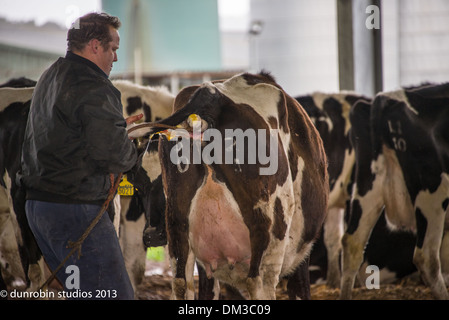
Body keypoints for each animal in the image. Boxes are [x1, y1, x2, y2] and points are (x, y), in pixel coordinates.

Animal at [131, 71, 328, 298]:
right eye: (139, 186)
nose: (152, 235)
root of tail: (211, 94)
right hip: (270, 227)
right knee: (259, 282)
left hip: (177, 225)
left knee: (181, 284)